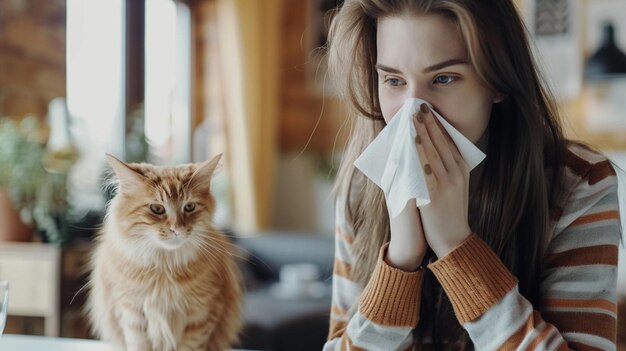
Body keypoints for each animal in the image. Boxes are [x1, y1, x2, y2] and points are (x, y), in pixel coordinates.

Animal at [87, 155, 241, 351]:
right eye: (157, 209)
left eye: (189, 207)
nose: (177, 229)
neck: (165, 266)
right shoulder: (132, 314)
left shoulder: (202, 315)